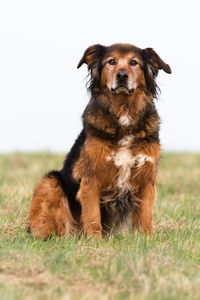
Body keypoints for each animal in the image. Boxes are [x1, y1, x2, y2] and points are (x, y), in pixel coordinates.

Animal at [28, 43, 171, 239]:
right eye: (111, 62)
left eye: (134, 63)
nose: (122, 76)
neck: (123, 112)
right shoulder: (90, 178)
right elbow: (92, 215)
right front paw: (95, 241)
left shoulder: (147, 178)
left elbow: (145, 216)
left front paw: (146, 239)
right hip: (50, 182)